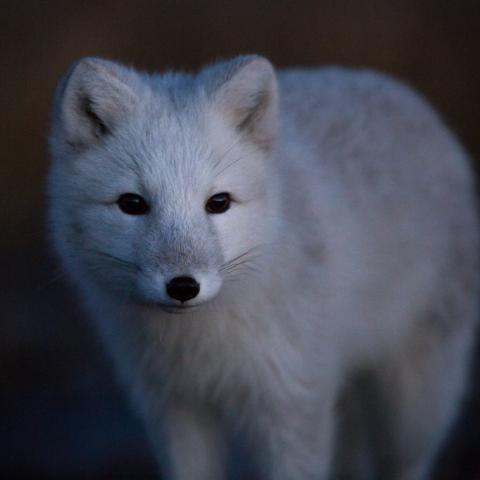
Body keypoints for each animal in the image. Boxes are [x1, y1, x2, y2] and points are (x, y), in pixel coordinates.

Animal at [48, 54, 480, 478]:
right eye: (133, 204)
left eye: (219, 202)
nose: (183, 286)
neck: (201, 349)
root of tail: (398, 90)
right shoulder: (175, 408)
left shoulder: (293, 403)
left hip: (410, 413)